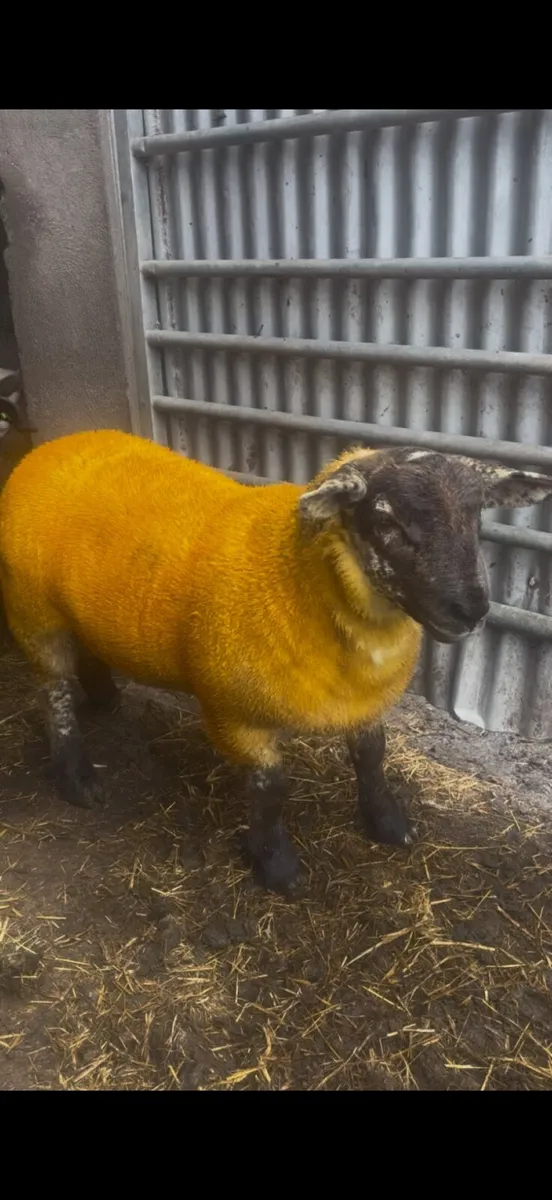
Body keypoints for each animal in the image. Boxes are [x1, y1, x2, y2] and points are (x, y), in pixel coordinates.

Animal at [1, 429, 551, 895]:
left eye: (476, 518)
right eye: (386, 521)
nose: (471, 611)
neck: (303, 578)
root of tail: (52, 445)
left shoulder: (363, 702)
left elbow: (372, 759)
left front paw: (389, 823)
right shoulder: (233, 715)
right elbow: (272, 789)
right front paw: (277, 866)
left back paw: (106, 699)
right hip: (34, 614)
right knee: (54, 695)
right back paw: (77, 779)